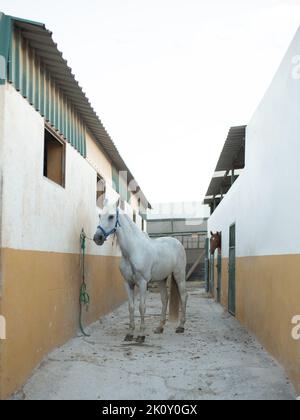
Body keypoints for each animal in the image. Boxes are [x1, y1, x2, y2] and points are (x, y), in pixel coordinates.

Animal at [94, 202, 188, 342]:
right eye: (99, 215)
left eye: (111, 216)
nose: (97, 238)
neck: (132, 251)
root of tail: (177, 242)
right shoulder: (128, 283)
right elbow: (131, 307)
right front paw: (129, 333)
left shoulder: (143, 283)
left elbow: (142, 307)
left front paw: (141, 335)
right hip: (161, 279)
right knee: (164, 299)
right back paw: (160, 327)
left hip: (179, 276)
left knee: (184, 296)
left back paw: (181, 327)